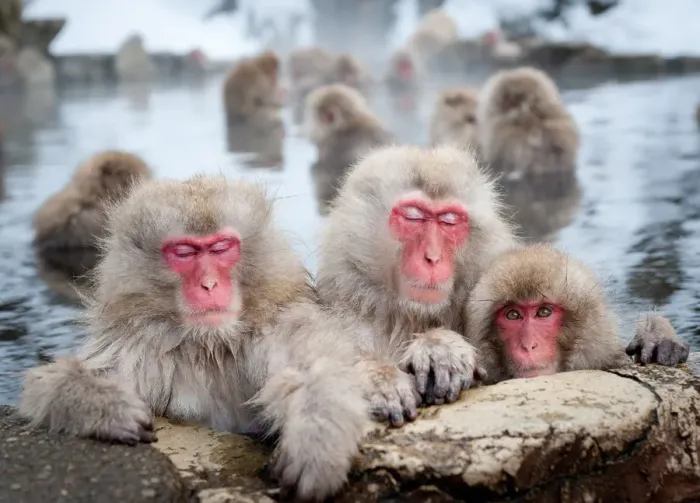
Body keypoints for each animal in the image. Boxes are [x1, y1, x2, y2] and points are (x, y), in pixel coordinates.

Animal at [19, 175, 370, 502]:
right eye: (185, 252)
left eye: (221, 247)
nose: (209, 284)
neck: (210, 344)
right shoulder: (136, 346)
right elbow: (46, 385)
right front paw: (104, 406)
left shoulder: (277, 328)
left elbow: (317, 368)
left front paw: (316, 442)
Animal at [315, 145, 518, 426]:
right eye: (413, 217)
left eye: (449, 220)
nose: (432, 257)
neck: (409, 318)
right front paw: (379, 378)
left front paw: (440, 348)